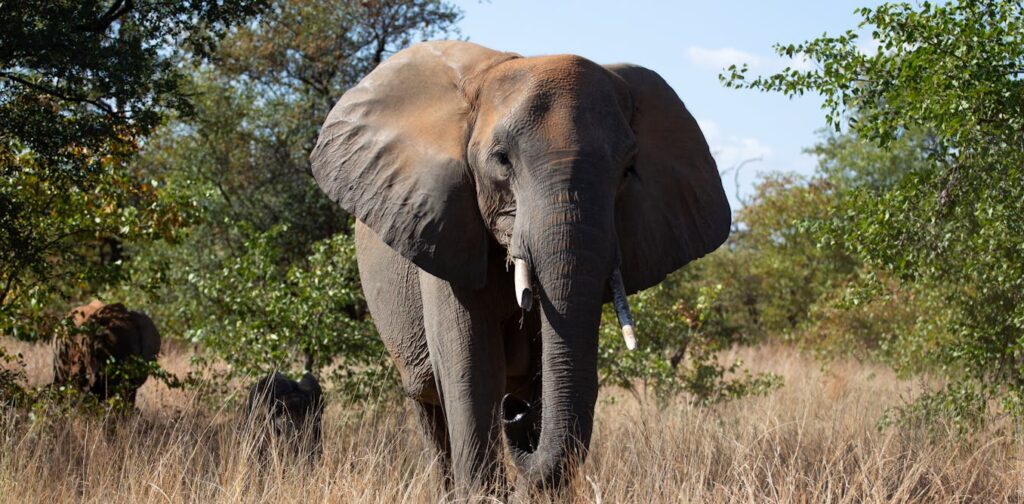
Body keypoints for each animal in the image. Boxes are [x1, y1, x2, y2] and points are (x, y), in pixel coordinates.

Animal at [310, 41, 730, 493]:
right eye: (501, 160)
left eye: (628, 170)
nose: (516, 411)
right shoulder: (444, 228)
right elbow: (472, 369)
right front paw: (484, 494)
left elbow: (552, 368)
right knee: (428, 403)